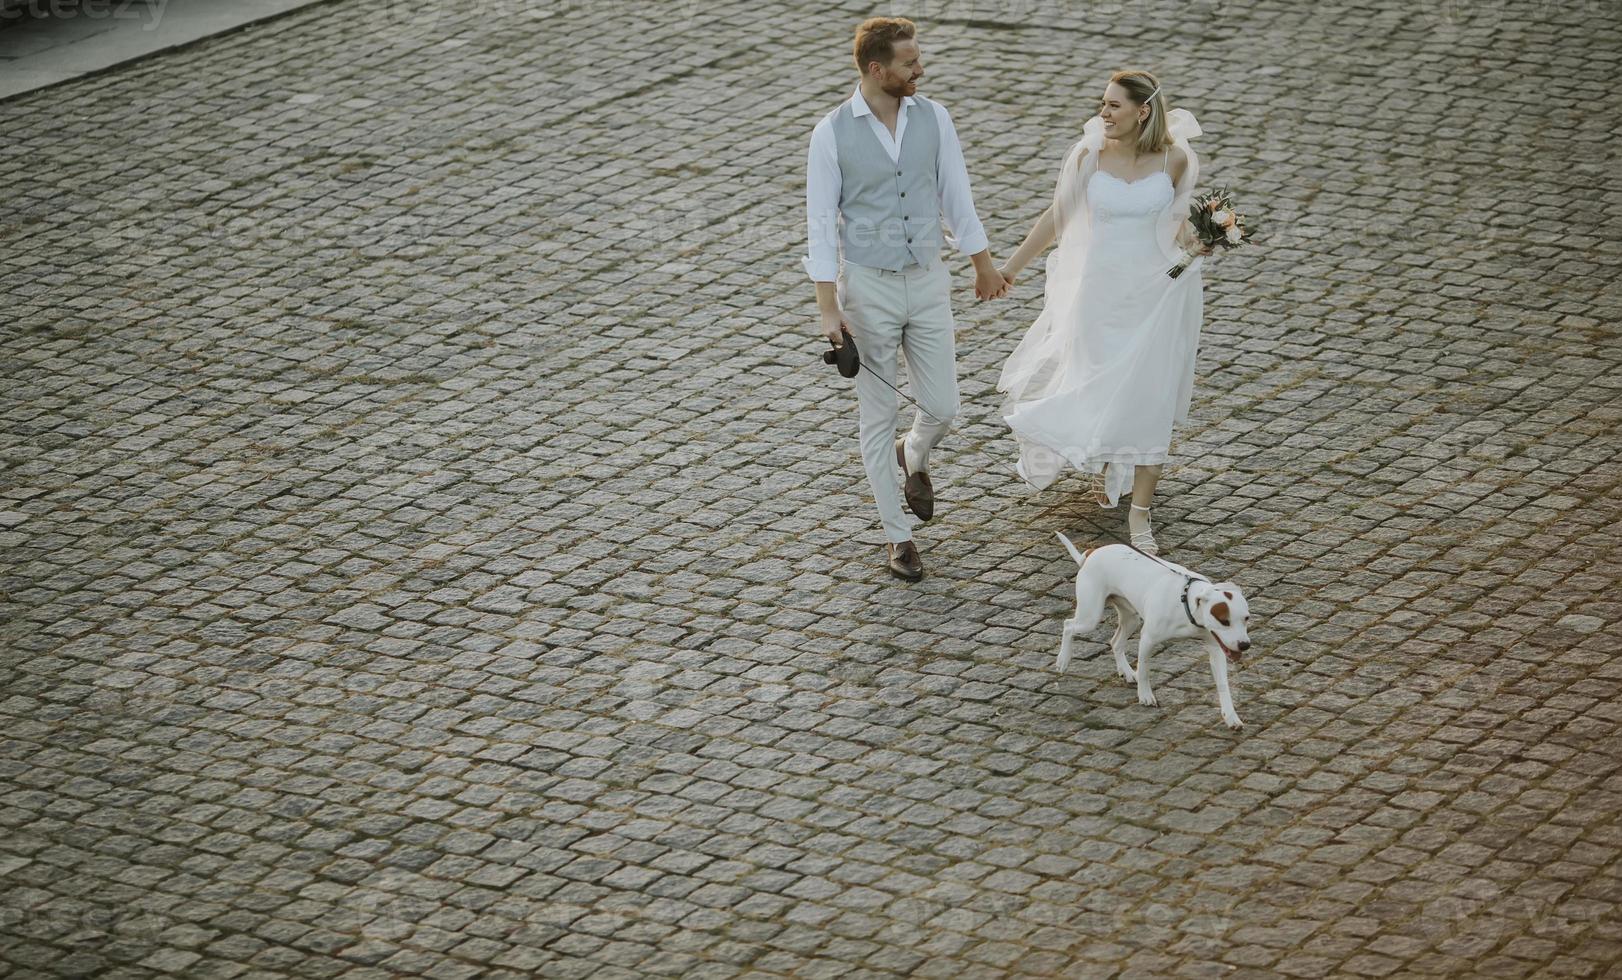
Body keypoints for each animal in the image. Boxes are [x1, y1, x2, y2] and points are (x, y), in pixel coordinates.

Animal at [1051, 532, 1252, 730]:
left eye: (1247, 618)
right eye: (1224, 621)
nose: (1244, 645)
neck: (1185, 602)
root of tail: (1093, 552)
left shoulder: (1216, 648)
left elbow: (1223, 685)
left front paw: (1231, 716)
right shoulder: (1148, 639)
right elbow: (1144, 670)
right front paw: (1145, 695)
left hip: (1131, 618)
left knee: (1115, 642)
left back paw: (1127, 672)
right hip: (1090, 617)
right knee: (1068, 625)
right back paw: (1063, 660)